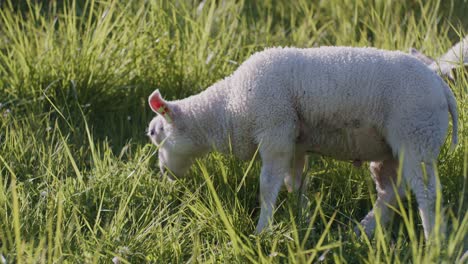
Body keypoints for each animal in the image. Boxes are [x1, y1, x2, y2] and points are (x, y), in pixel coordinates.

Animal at [146, 46, 458, 240]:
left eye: (154, 133)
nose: (163, 174)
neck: (229, 107)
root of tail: (442, 88)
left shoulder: (275, 131)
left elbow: (267, 186)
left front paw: (261, 231)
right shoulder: (293, 142)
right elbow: (295, 183)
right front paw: (304, 221)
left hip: (417, 135)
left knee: (427, 194)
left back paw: (433, 242)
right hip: (394, 148)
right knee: (391, 191)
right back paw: (362, 232)